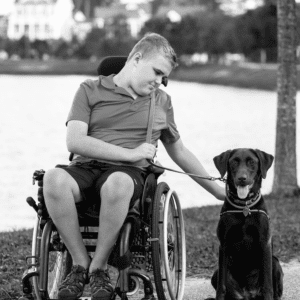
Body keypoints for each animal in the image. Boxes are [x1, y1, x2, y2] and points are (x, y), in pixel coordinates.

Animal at [206, 148, 284, 300]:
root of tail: (248, 295)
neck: (244, 207)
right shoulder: (224, 245)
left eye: (251, 162)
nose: (242, 178)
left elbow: (267, 285)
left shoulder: (264, 243)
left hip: (275, 262)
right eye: (234, 162)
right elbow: (221, 286)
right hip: (216, 273)